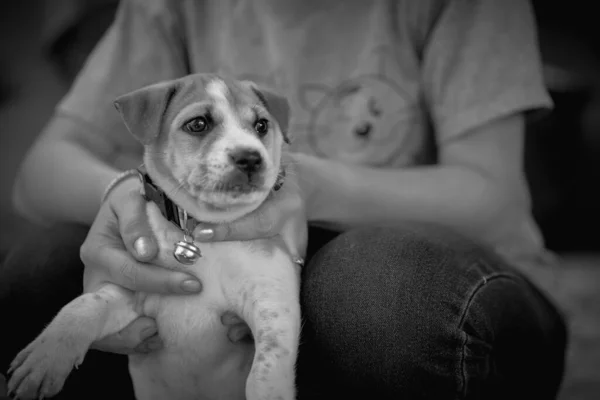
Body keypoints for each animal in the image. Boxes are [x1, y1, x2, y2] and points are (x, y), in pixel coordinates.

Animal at [8, 74, 310, 400]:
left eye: (261, 126)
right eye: (198, 124)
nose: (250, 157)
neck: (200, 231)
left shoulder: (273, 302)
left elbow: (266, 370)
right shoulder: (133, 291)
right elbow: (84, 307)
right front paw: (46, 357)